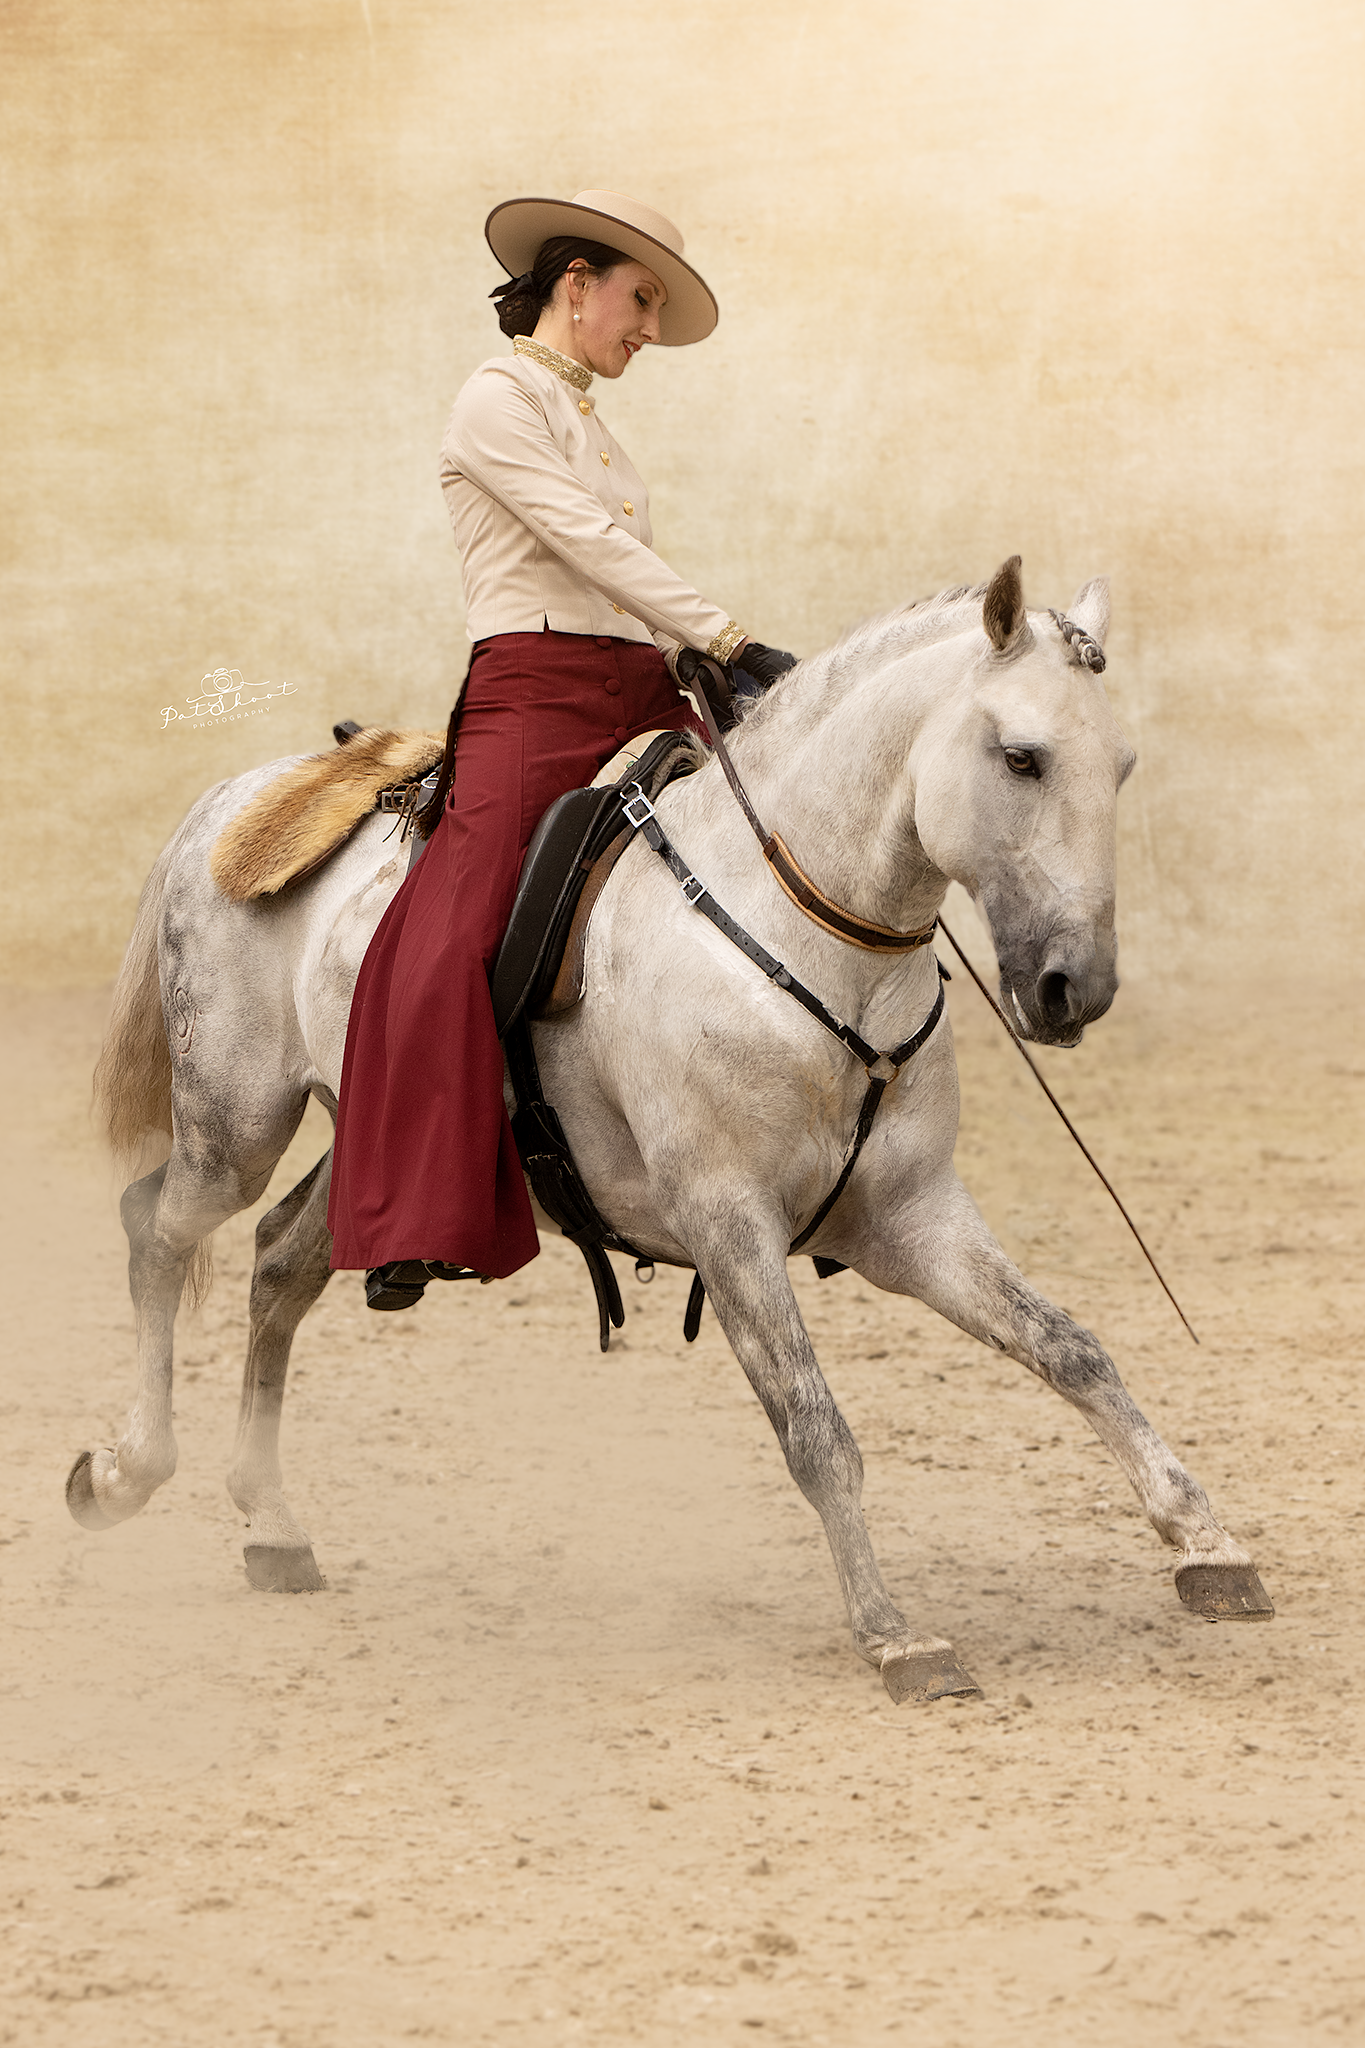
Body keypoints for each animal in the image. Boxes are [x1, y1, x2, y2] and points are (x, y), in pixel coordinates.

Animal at [71, 558, 1272, 1705]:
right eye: (1022, 758)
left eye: (1120, 765)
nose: (1077, 989)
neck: (802, 933)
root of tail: (238, 798)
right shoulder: (727, 1222)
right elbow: (815, 1426)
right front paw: (894, 1631)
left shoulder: (914, 1216)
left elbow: (1072, 1349)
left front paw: (1204, 1542)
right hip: (235, 1122)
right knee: (153, 1230)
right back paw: (126, 1470)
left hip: (373, 1143)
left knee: (279, 1260)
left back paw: (271, 1524)